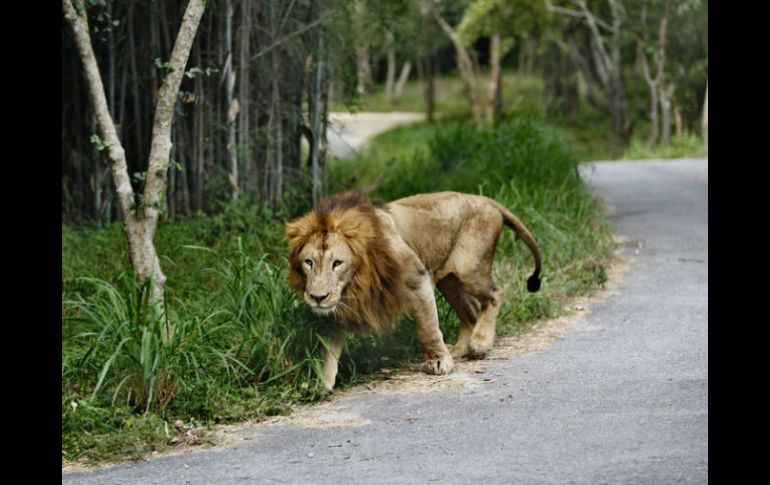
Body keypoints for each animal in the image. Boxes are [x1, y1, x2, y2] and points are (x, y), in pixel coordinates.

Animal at [284, 189, 540, 390]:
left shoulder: (417, 280)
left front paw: (439, 362)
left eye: (337, 263)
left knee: (494, 295)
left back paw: (480, 342)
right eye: (309, 262)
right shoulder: (336, 307)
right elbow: (327, 349)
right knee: (470, 312)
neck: (356, 280)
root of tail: (485, 200)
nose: (317, 297)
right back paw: (460, 349)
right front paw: (321, 383)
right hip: (449, 280)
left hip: (468, 269)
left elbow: (427, 328)